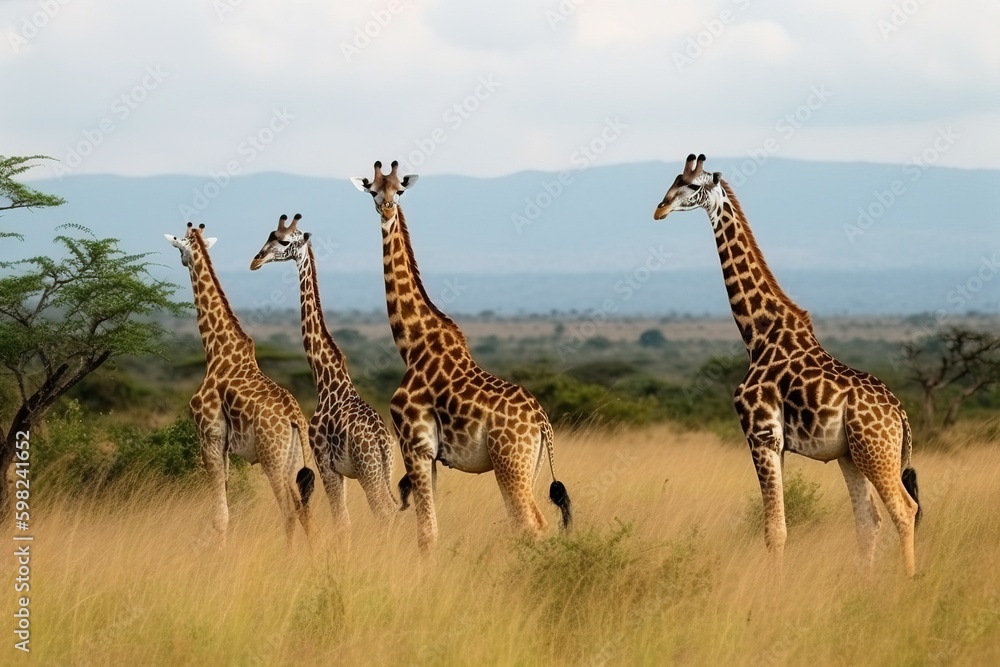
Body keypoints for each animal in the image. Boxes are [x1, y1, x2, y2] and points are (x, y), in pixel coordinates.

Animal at [164, 222, 315, 544]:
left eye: (181, 248)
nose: (182, 260)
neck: (216, 349)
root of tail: (296, 420)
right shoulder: (223, 446)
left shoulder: (209, 435)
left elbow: (220, 515)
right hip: (296, 462)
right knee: (305, 512)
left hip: (273, 460)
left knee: (289, 512)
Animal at [250, 213, 397, 526]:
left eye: (283, 241)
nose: (255, 261)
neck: (326, 380)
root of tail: (381, 439)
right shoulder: (337, 469)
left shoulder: (324, 461)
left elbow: (341, 521)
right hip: (386, 467)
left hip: (368, 471)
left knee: (385, 513)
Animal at [350, 160, 572, 552]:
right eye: (374, 190)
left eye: (399, 191)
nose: (387, 210)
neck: (412, 345)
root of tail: (542, 423)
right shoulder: (428, 455)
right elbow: (429, 526)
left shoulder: (415, 445)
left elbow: (427, 532)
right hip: (528, 466)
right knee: (536, 521)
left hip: (509, 463)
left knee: (530, 524)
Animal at [652, 154, 921, 576]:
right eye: (674, 179)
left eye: (693, 186)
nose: (659, 209)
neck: (758, 336)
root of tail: (901, 416)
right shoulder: (777, 443)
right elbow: (779, 526)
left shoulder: (762, 435)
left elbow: (774, 531)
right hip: (852, 454)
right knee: (869, 520)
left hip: (875, 451)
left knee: (904, 509)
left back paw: (908, 581)